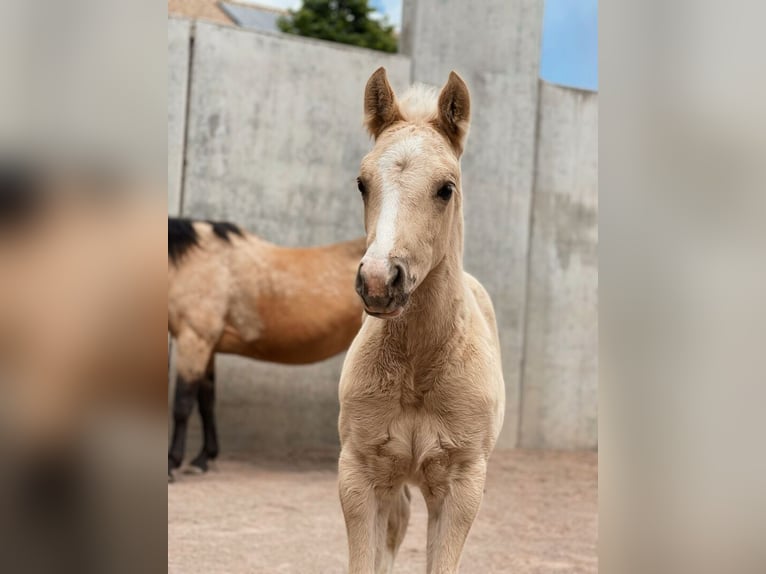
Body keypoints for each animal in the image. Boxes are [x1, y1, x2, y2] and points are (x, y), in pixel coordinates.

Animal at [167, 217, 366, 480]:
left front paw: (172, 463)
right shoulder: (207, 346)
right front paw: (203, 459)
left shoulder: (193, 339)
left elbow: (182, 405)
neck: (194, 260)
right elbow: (206, 403)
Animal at [338, 68, 505, 573]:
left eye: (445, 188)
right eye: (362, 183)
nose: (378, 281)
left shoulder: (462, 485)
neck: (417, 369)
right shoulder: (358, 472)